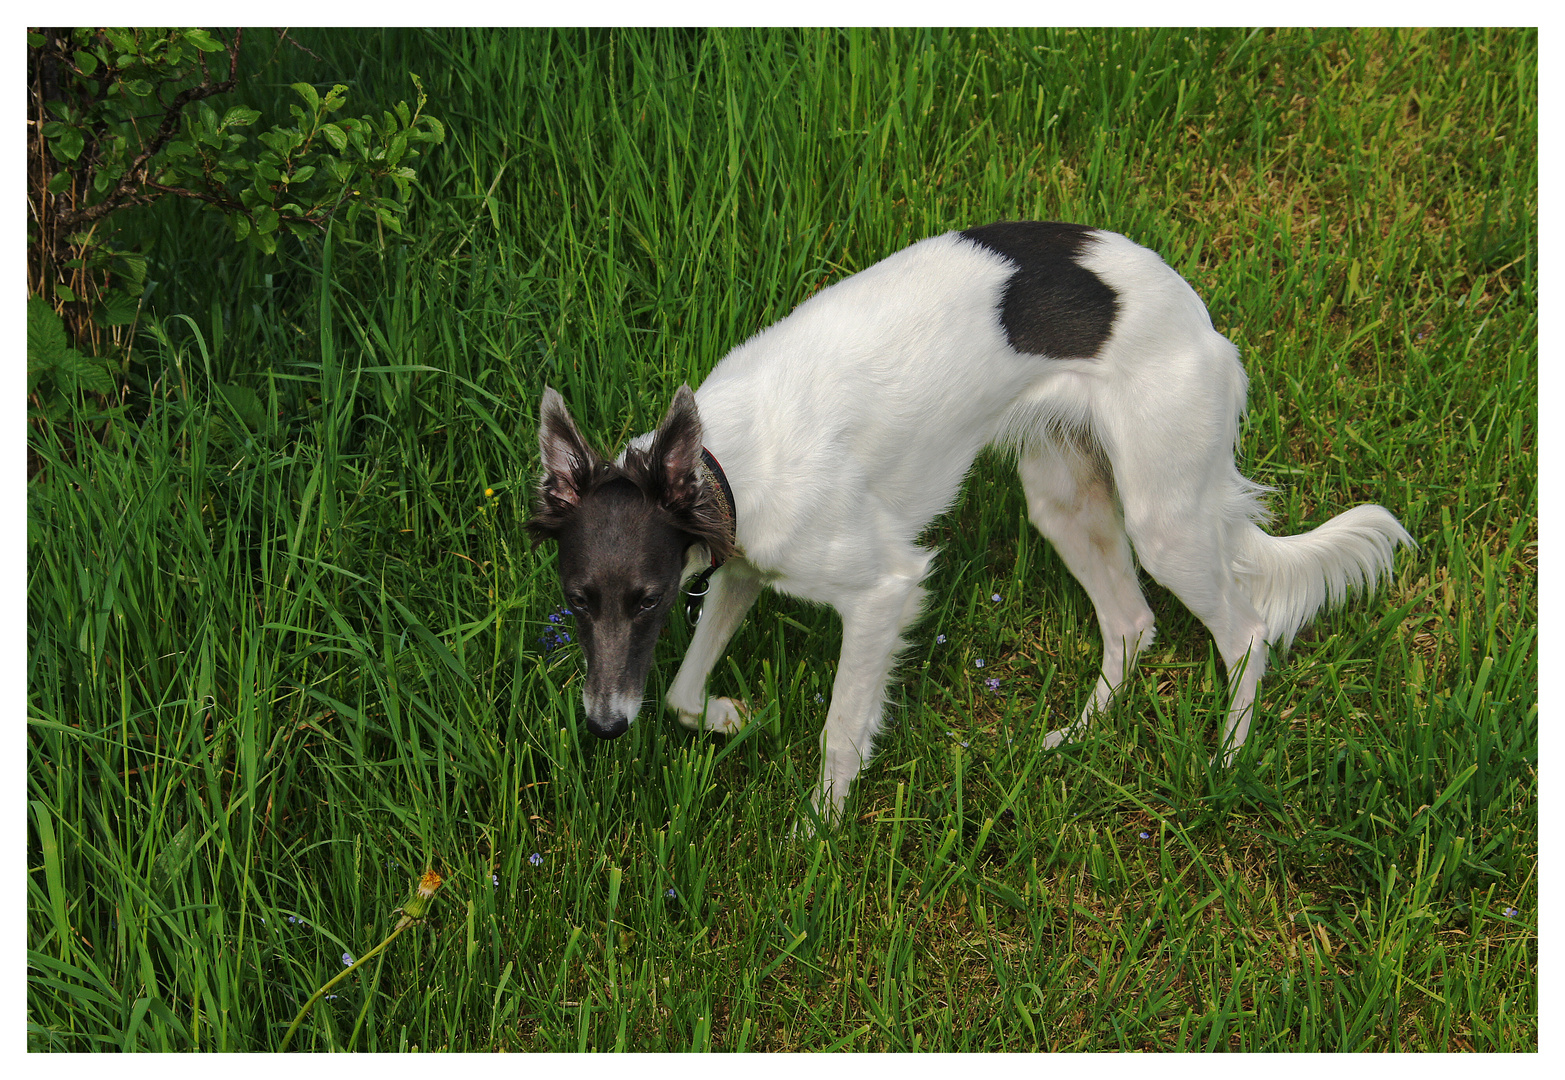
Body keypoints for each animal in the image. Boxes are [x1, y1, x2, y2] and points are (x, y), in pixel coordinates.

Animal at [528, 219, 1421, 826]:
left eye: (646, 599)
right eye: (577, 600)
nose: (603, 727)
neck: (728, 462)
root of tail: (1196, 316)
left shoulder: (882, 588)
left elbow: (840, 728)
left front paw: (818, 837)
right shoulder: (742, 567)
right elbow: (680, 692)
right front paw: (723, 716)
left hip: (1164, 514)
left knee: (1245, 633)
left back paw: (1226, 761)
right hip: (1063, 496)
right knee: (1130, 623)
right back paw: (1074, 738)